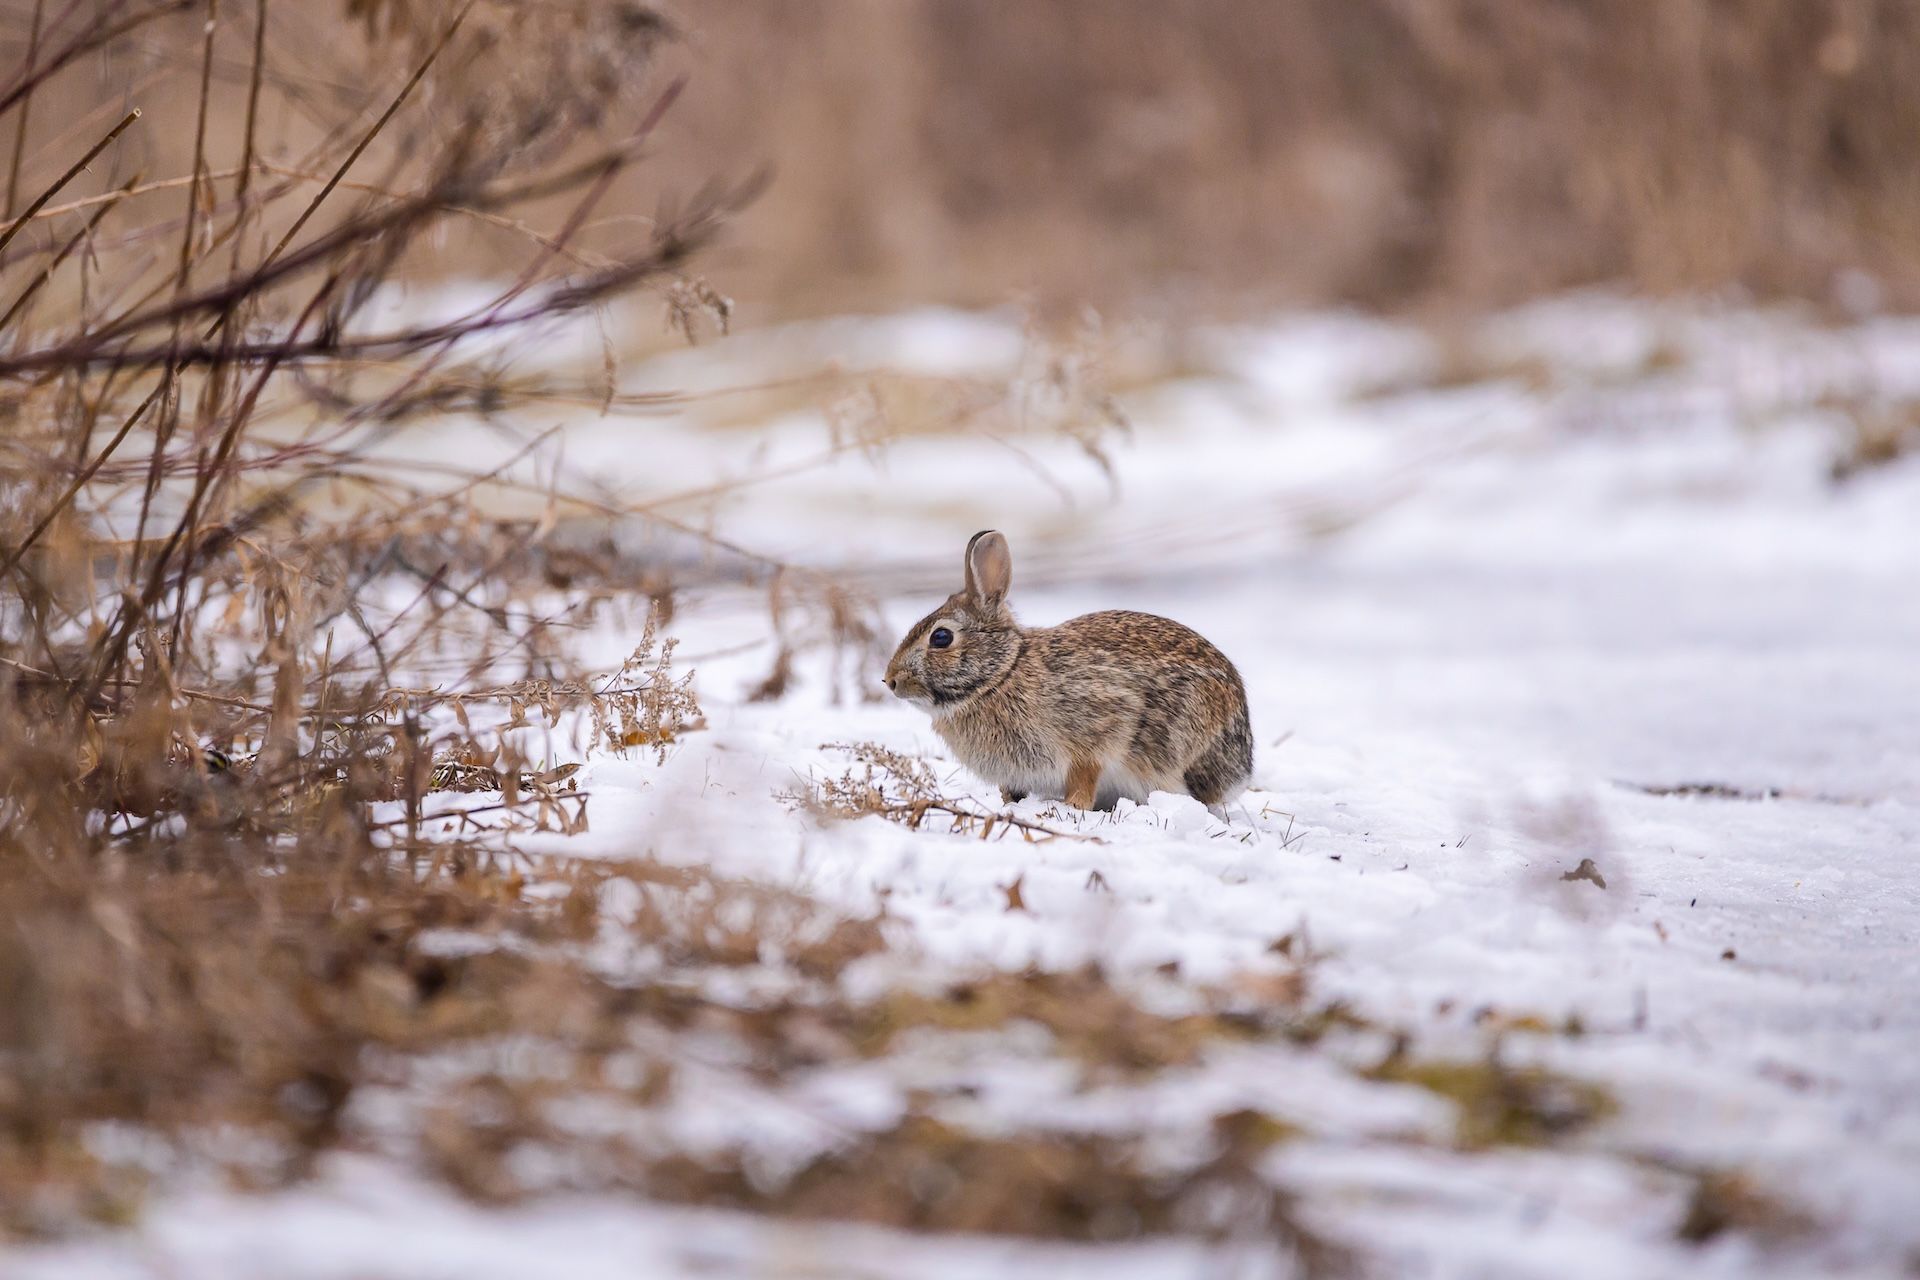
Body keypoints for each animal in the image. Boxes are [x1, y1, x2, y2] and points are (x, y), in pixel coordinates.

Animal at [883, 530, 1253, 814]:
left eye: (941, 637)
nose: (891, 680)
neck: (1001, 674)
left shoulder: (1098, 728)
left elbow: (1084, 774)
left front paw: (1072, 807)